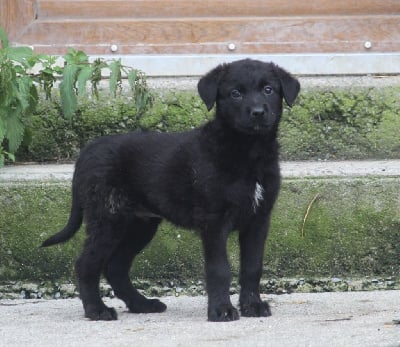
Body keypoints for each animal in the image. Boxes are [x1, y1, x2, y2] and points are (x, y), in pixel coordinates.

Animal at [41, 59, 300, 324]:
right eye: (235, 93)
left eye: (268, 90)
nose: (258, 112)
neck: (248, 152)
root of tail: (88, 150)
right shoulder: (214, 222)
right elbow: (219, 269)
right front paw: (221, 310)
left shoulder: (258, 220)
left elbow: (252, 266)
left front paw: (253, 305)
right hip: (107, 219)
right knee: (86, 264)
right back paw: (97, 310)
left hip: (139, 224)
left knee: (116, 266)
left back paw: (141, 304)